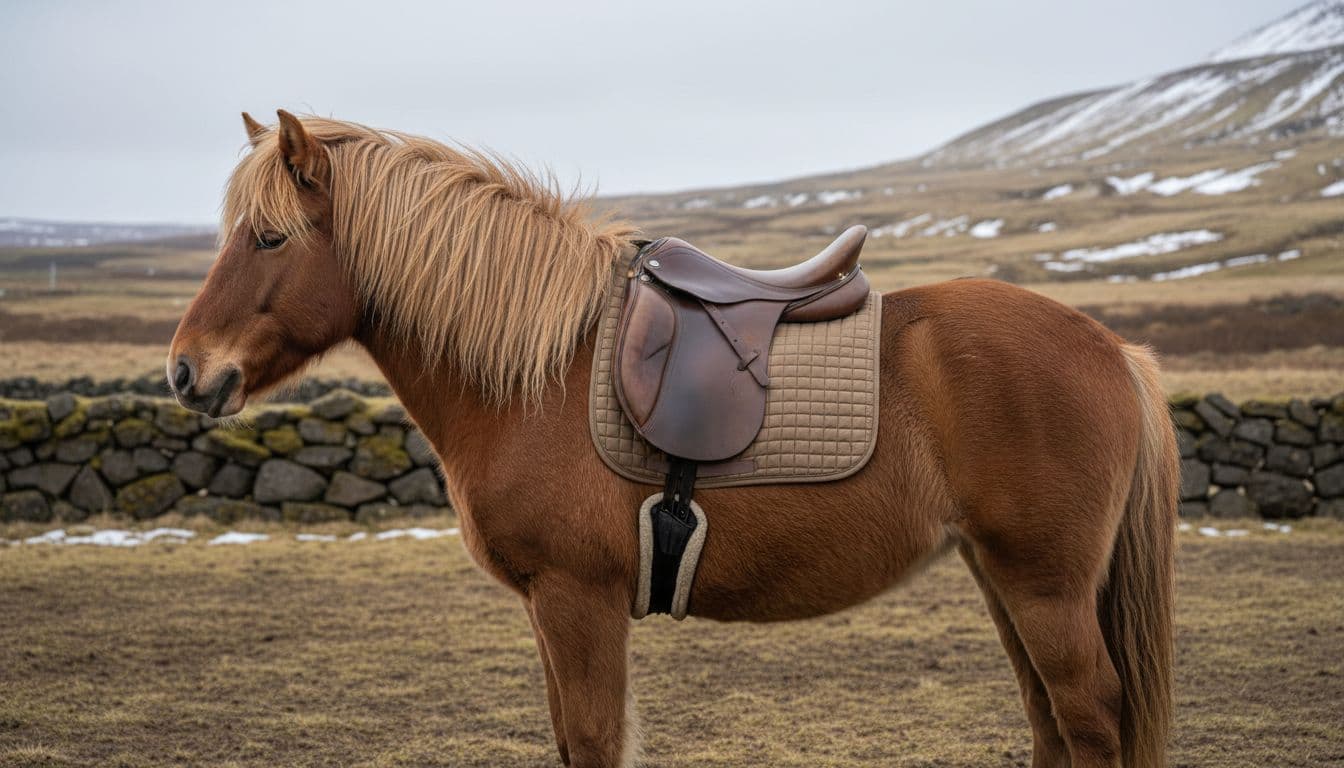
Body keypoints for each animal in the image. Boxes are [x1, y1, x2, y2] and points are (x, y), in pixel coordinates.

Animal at [169, 110, 1178, 768]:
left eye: (267, 239)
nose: (185, 372)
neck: (543, 372)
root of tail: (1112, 347)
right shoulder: (547, 607)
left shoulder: (578, 599)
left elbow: (593, 741)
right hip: (1003, 578)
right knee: (1050, 722)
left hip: (1044, 588)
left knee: (1088, 718)